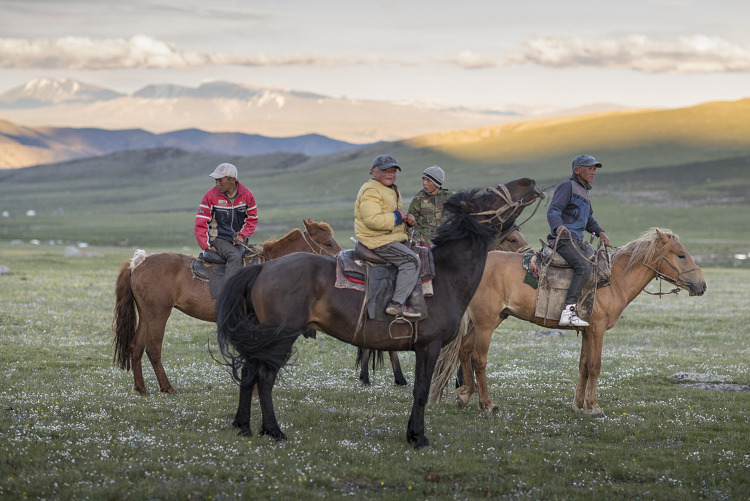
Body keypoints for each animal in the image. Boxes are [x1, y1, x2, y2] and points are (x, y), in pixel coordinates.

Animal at [112, 218, 344, 394]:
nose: (340, 263)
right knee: (153, 348)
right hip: (159, 313)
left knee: (135, 346)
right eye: (328, 243)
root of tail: (138, 264)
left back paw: (141, 388)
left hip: (146, 314)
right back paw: (167, 388)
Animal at [432, 227, 708, 414]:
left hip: (491, 319)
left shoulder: (586, 330)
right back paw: (487, 404)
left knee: (464, 350)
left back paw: (464, 395)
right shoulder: (597, 330)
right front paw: (594, 407)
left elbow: (583, 365)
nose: (702, 285)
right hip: (486, 322)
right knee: (479, 358)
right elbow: (595, 365)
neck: (614, 280)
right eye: (681, 255)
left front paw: (578, 405)